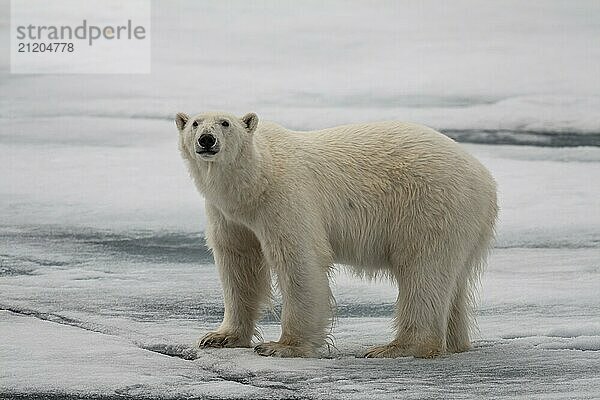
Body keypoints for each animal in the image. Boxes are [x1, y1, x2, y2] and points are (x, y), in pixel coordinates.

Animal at [176, 111, 500, 358]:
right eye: (195, 123)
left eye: (225, 123)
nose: (207, 140)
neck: (257, 180)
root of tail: (486, 178)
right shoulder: (229, 216)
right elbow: (238, 263)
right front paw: (219, 337)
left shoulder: (286, 198)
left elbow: (300, 261)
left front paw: (281, 346)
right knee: (450, 280)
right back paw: (455, 343)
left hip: (431, 206)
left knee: (423, 270)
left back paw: (396, 348)